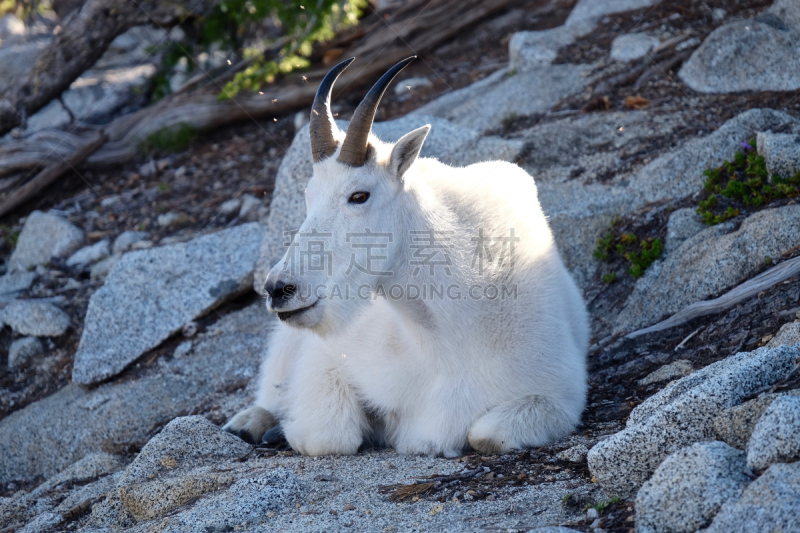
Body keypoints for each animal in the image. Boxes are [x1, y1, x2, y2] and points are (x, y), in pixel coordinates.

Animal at [225, 56, 588, 456]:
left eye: (359, 195)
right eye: (308, 195)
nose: (279, 289)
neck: (445, 337)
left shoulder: (558, 395)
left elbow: (485, 434)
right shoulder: (327, 358)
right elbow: (330, 436)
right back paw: (250, 422)